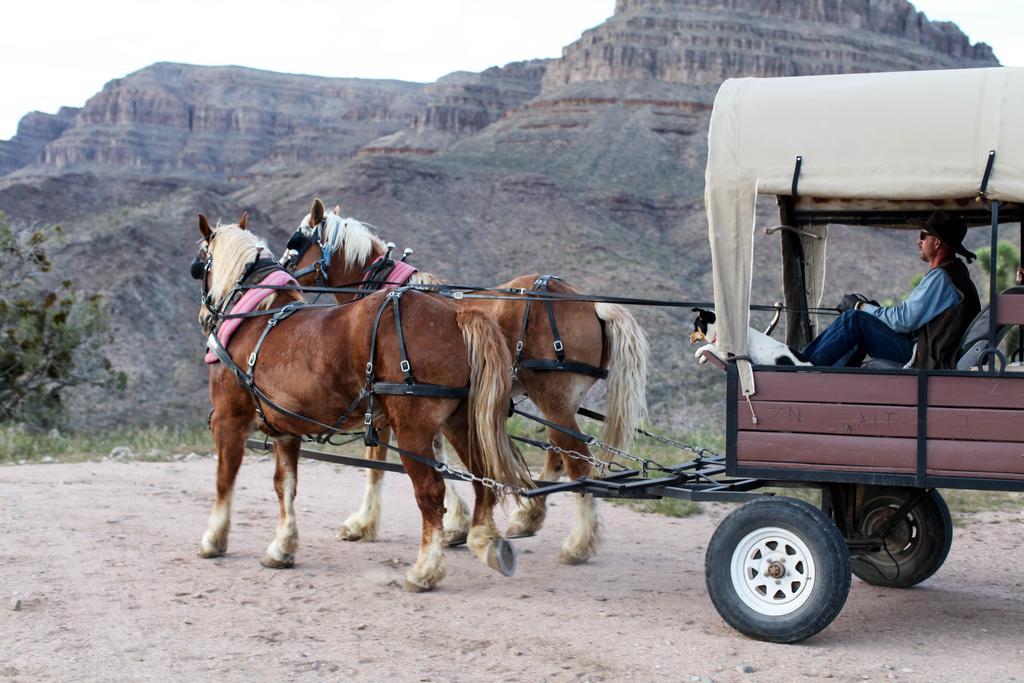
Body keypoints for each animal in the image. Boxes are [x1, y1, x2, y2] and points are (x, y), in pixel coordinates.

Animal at [192, 215, 532, 593]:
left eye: (200, 263)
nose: (204, 315)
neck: (255, 316)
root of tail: (456, 313)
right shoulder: (286, 428)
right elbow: (286, 486)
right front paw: (283, 547)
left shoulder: (228, 419)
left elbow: (225, 479)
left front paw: (214, 539)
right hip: (460, 422)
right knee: (481, 476)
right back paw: (484, 540)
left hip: (413, 429)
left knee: (431, 492)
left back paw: (425, 569)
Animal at [284, 198, 647, 565]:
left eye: (295, 244)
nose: (282, 275)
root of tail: (592, 304)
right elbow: (441, 461)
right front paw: (456, 526)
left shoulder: (386, 403)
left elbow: (377, 467)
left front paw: (361, 525)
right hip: (556, 404)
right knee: (560, 455)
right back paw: (529, 518)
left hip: (554, 399)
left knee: (578, 463)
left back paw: (578, 543)